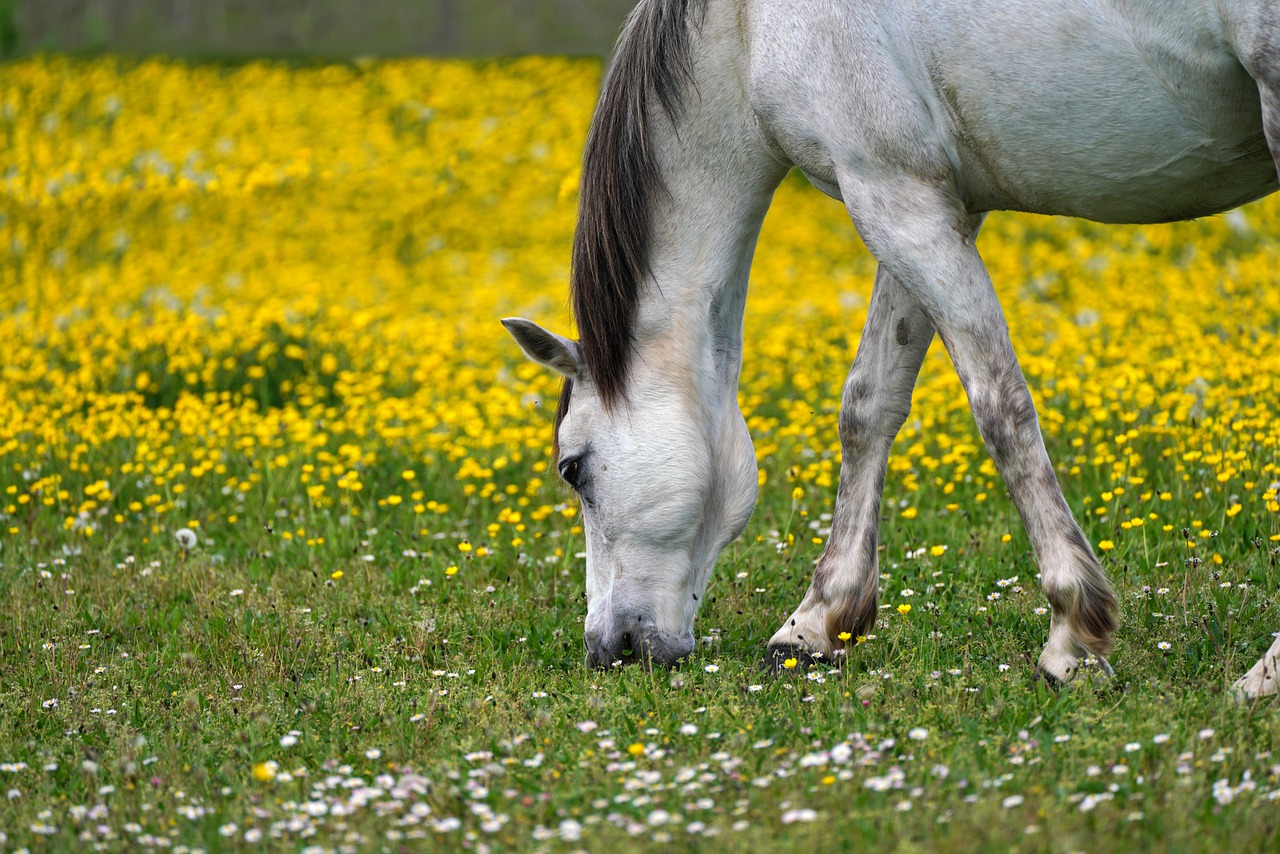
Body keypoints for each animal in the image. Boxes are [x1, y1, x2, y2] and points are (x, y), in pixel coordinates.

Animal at [499, 0, 1280, 696]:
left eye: (572, 468)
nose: (609, 649)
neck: (746, 24)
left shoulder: (892, 194)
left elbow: (1000, 406)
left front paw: (1071, 638)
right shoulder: (916, 200)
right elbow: (868, 405)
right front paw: (814, 627)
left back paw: (1259, 679)